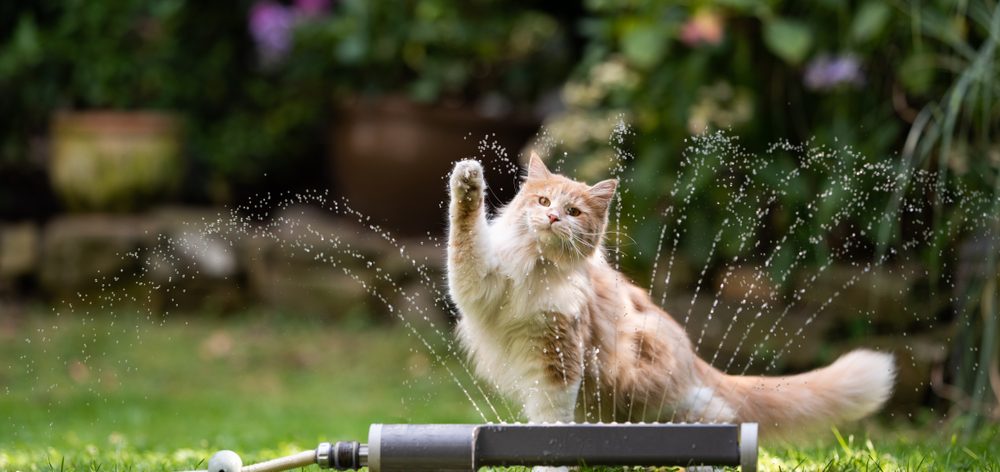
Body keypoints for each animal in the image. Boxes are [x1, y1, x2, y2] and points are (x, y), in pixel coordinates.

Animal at [448, 155, 900, 436]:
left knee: (719, 413)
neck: (537, 269)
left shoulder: (559, 358)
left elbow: (552, 421)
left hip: (651, 393)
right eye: (542, 200)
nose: (554, 217)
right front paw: (467, 183)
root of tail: (692, 357)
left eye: (574, 212)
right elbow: (464, 235)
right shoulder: (478, 282)